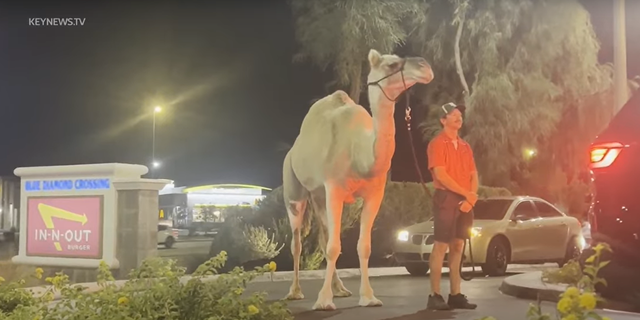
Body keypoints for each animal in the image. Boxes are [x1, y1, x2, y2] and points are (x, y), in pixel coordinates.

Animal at [282, 48, 432, 310]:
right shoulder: (334, 188)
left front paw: (369, 297)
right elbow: (334, 247)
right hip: (294, 190)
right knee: (298, 241)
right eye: (391, 64)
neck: (361, 155)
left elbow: (363, 246)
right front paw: (323, 301)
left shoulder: (375, 194)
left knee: (323, 236)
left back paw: (340, 289)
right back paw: (295, 292)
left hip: (318, 196)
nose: (425, 66)